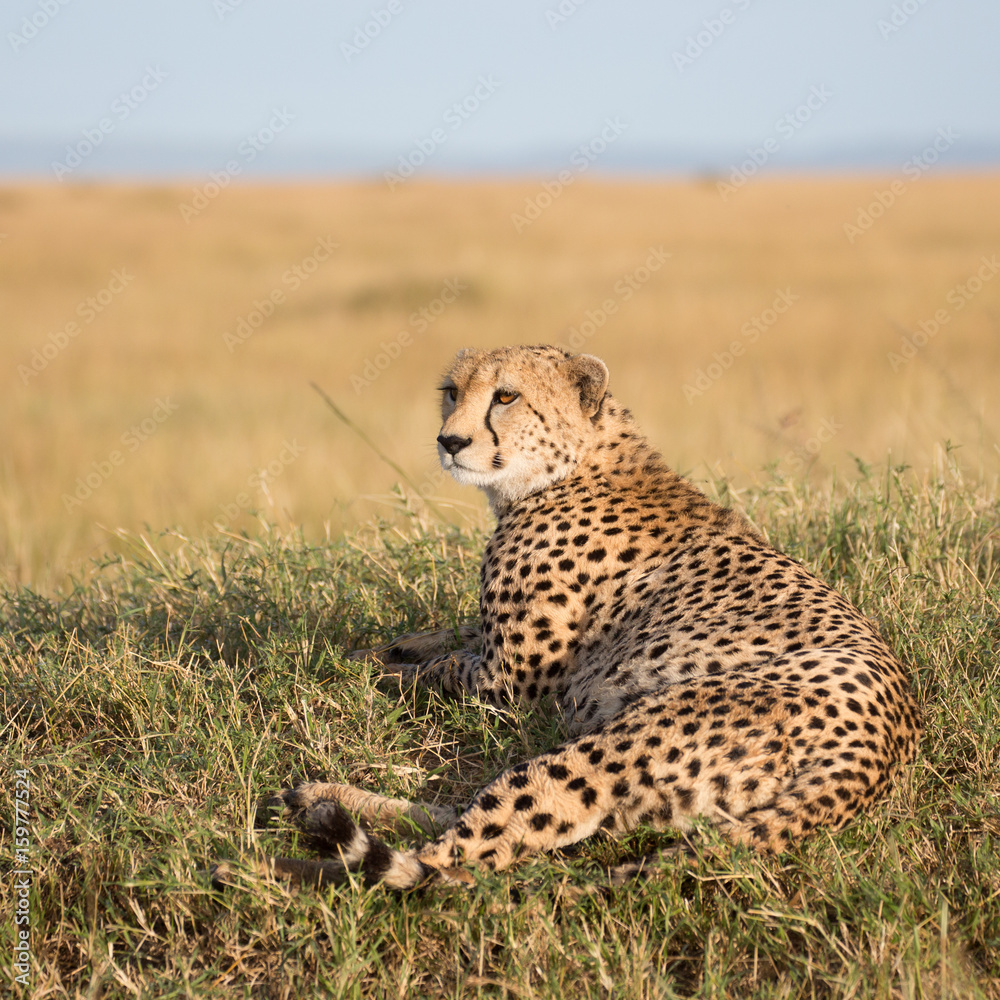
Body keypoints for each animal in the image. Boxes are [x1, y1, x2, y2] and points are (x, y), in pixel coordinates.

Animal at [213, 343, 920, 891]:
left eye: (505, 396)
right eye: (451, 392)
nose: (450, 441)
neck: (574, 463)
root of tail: (879, 749)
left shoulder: (511, 684)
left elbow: (430, 673)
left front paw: (345, 670)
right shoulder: (489, 645)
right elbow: (442, 636)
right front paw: (374, 648)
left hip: (614, 749)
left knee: (456, 862)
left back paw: (264, 871)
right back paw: (317, 801)